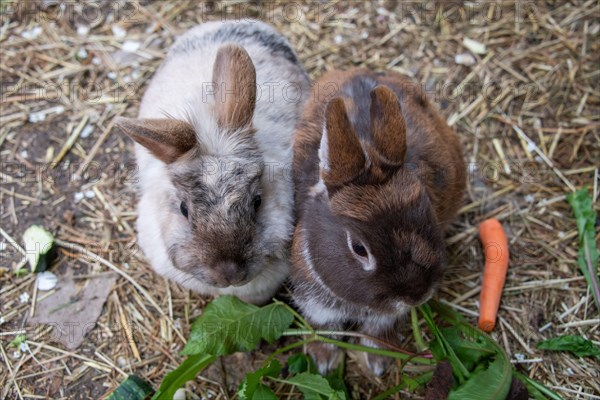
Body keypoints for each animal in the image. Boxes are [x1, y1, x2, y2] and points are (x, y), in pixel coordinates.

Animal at [288, 68, 466, 376]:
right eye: (359, 248)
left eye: (427, 211)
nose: (417, 295)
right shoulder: (315, 300)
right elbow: (325, 326)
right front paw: (322, 360)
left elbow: (377, 329)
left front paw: (377, 362)